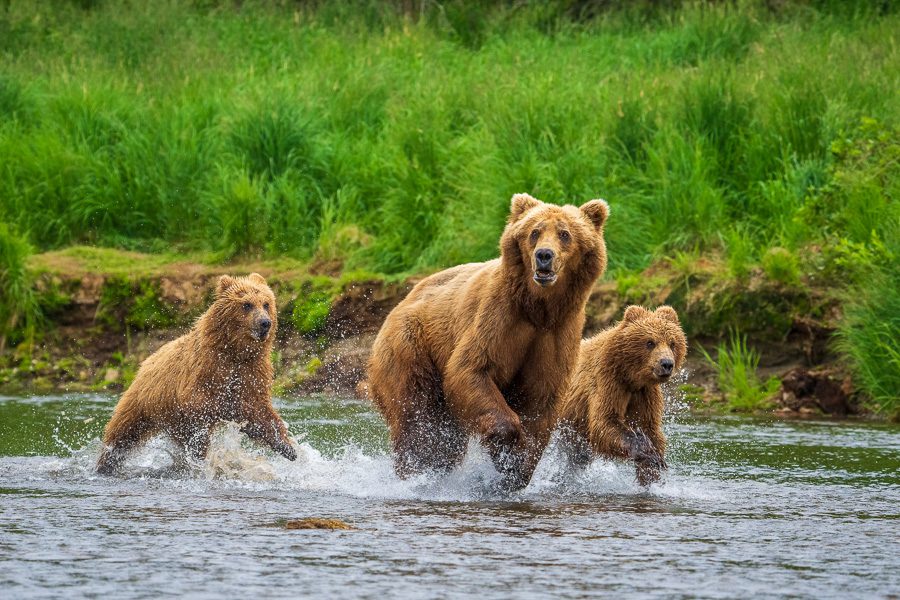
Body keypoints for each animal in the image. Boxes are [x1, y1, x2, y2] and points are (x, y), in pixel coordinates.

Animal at [368, 195, 612, 490]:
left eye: (565, 234)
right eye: (534, 232)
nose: (544, 256)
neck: (538, 308)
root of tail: (400, 303)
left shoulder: (558, 332)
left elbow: (541, 394)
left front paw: (519, 465)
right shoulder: (498, 318)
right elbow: (471, 369)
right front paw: (507, 446)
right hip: (410, 347)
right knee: (418, 421)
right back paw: (415, 472)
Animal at [556, 308, 688, 486]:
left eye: (672, 343)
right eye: (650, 342)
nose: (666, 364)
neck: (631, 377)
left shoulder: (645, 394)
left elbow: (649, 427)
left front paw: (653, 469)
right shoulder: (608, 382)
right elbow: (605, 421)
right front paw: (646, 450)